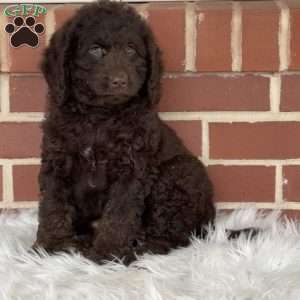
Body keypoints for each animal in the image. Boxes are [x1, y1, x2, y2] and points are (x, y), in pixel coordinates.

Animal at [35, 0, 216, 264]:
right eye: (95, 50)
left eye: (131, 50)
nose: (119, 81)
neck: (99, 116)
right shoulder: (57, 159)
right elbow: (53, 205)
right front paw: (53, 247)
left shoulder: (132, 168)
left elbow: (120, 214)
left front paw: (108, 254)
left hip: (178, 173)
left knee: (174, 235)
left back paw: (143, 248)